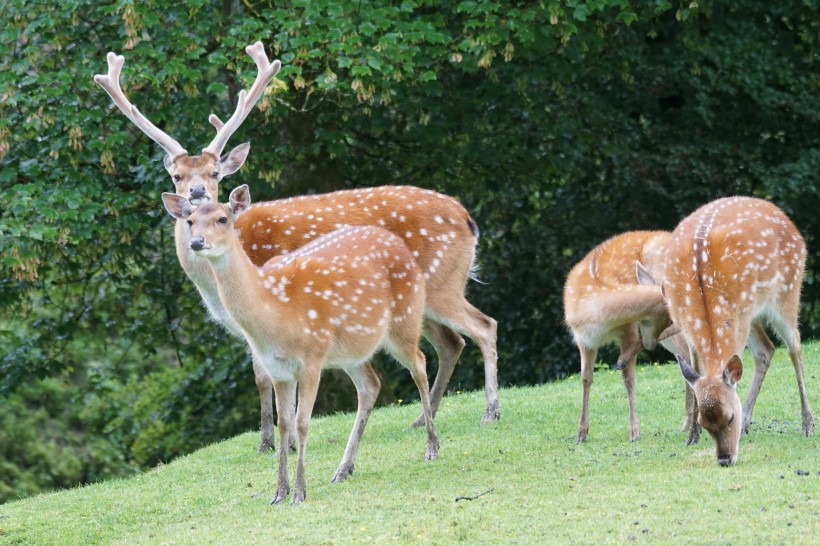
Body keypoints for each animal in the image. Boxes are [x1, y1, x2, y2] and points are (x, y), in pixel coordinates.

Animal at [93, 42, 496, 452]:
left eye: (215, 173)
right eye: (177, 175)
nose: (197, 193)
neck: (215, 287)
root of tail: (467, 217)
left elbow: (274, 375)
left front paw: (279, 442)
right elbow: (262, 376)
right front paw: (267, 442)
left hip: (442, 281)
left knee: (483, 326)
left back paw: (489, 411)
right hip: (418, 302)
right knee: (450, 342)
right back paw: (420, 420)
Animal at [163, 185, 438, 504]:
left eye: (223, 218)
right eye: (190, 221)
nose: (197, 242)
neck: (274, 312)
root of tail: (401, 247)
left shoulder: (311, 357)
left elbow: (302, 422)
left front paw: (299, 492)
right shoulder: (278, 369)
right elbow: (284, 424)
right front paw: (278, 492)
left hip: (405, 320)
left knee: (420, 363)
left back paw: (432, 447)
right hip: (351, 351)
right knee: (371, 385)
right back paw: (343, 469)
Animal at [560, 230, 688, 442]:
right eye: (666, 319)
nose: (652, 344)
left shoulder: (628, 329)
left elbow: (628, 378)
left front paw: (634, 431)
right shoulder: (583, 340)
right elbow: (585, 378)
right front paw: (581, 433)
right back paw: (687, 424)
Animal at [652, 196, 812, 464]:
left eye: (730, 417)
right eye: (704, 422)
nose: (724, 459)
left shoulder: (741, 314)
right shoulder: (685, 323)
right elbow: (695, 371)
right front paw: (692, 437)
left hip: (789, 289)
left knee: (794, 347)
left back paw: (807, 424)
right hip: (755, 312)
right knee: (767, 350)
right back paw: (749, 423)